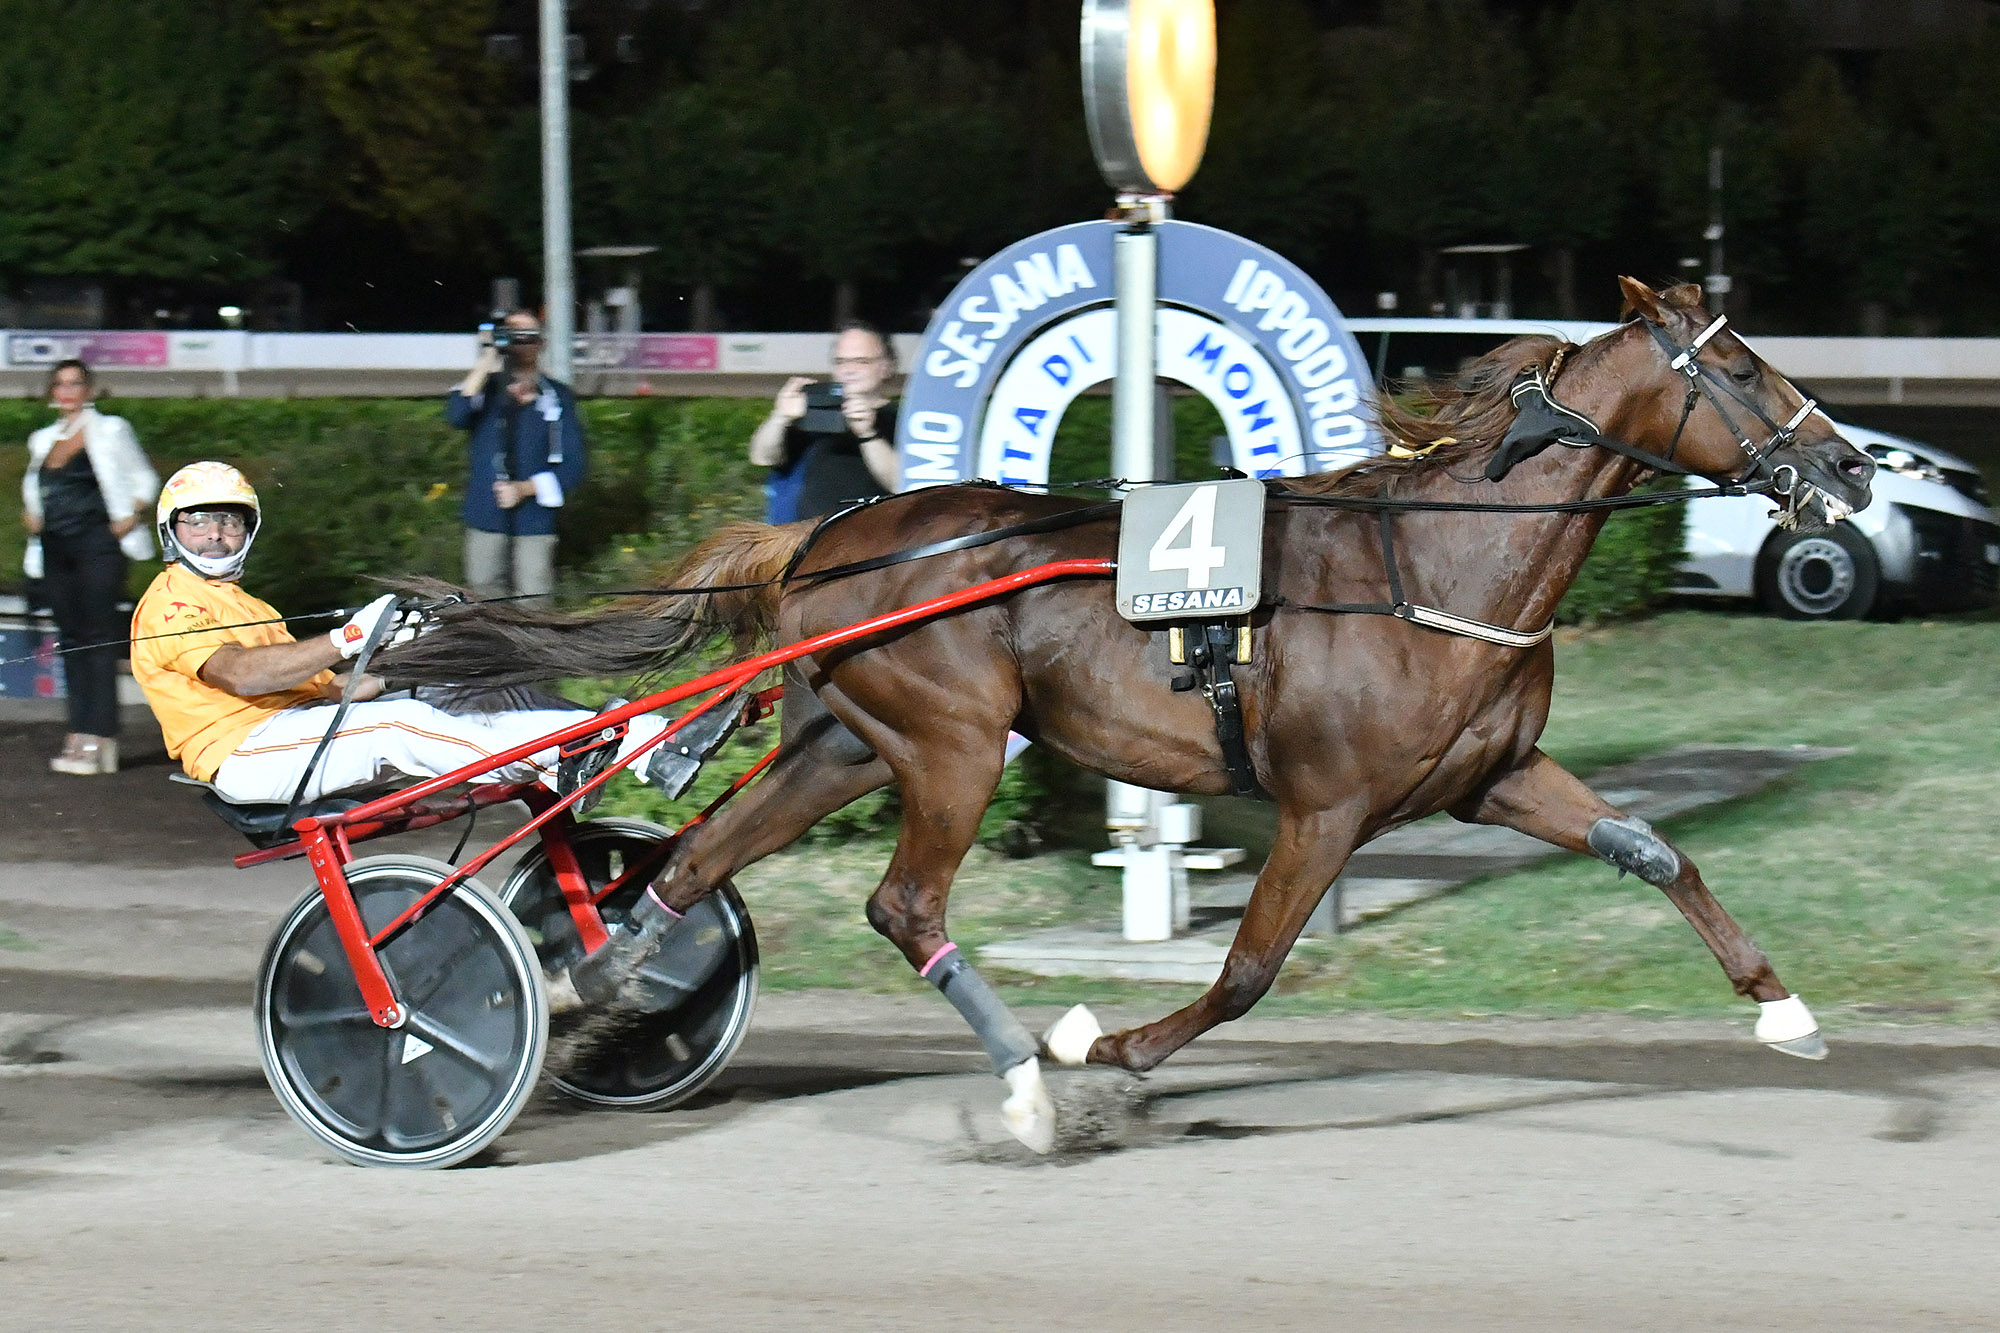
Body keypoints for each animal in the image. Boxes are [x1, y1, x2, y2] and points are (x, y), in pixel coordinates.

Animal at [378, 282, 1872, 1152]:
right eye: (1741, 368)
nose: (1855, 466)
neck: (1436, 563)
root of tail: (828, 538)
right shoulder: (1327, 804)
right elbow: (1250, 970)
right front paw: (1099, 1051)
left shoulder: (1490, 777)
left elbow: (1653, 849)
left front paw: (1785, 1011)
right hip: (952, 745)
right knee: (902, 906)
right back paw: (1026, 1087)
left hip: (848, 741)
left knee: (691, 863)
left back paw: (595, 993)